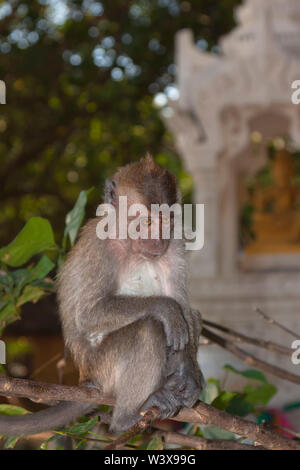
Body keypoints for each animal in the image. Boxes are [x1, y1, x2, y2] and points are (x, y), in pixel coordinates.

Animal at [0, 156, 204, 436]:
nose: (157, 242)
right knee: (148, 329)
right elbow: (89, 314)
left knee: (189, 317)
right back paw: (127, 417)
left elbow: (184, 307)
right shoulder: (100, 247)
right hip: (103, 367)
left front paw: (190, 376)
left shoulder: (175, 244)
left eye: (167, 220)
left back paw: (175, 382)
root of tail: (88, 380)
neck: (131, 246)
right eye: (147, 222)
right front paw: (166, 309)